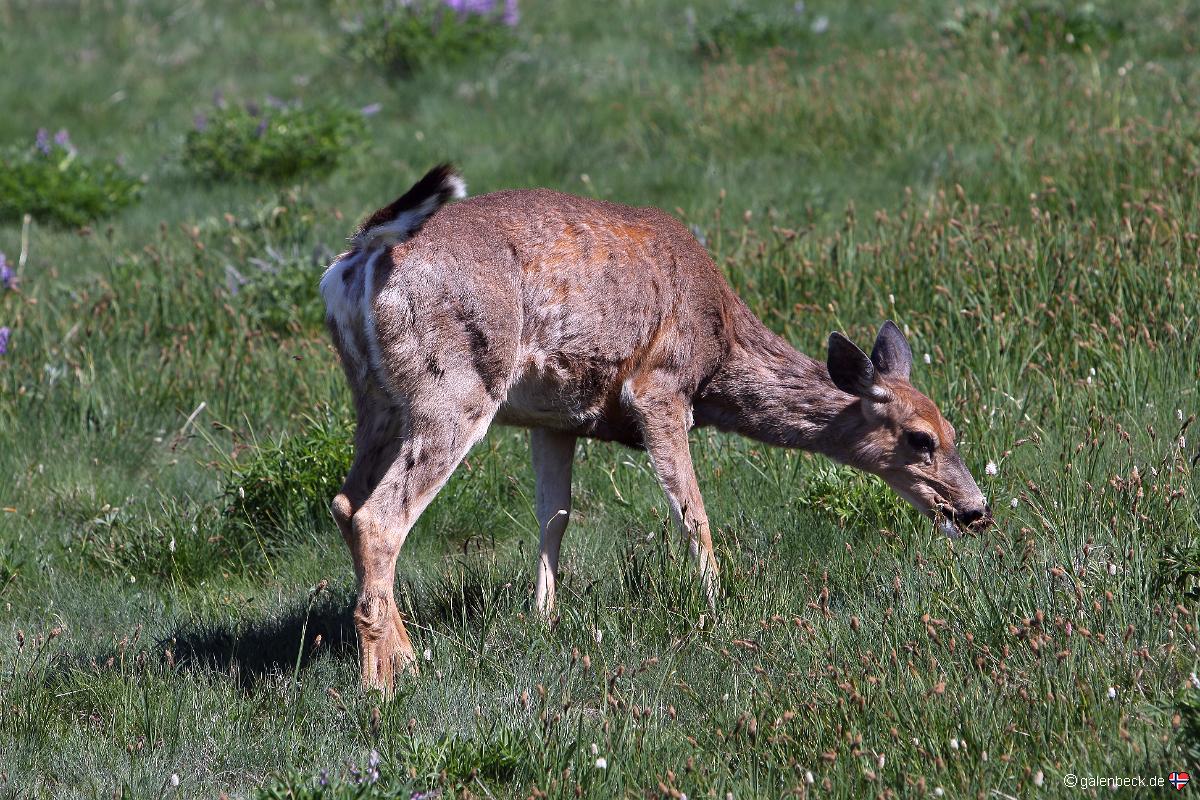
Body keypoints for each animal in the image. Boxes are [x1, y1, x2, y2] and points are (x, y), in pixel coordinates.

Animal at [319, 164, 993, 695]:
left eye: (953, 429)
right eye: (921, 439)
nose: (976, 510)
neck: (719, 348)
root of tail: (359, 257)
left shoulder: (553, 417)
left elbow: (554, 516)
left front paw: (543, 616)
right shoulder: (659, 387)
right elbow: (692, 511)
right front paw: (718, 607)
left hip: (376, 398)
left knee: (346, 502)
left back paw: (393, 656)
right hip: (454, 387)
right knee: (379, 517)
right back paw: (389, 675)